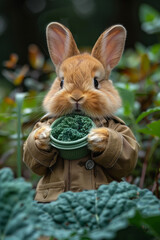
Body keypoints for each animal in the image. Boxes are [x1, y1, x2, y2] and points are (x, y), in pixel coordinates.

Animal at [22, 22, 139, 202]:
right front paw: (43, 135)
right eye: (61, 83)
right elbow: (31, 156)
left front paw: (98, 136)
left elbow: (128, 151)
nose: (76, 97)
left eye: (96, 82)